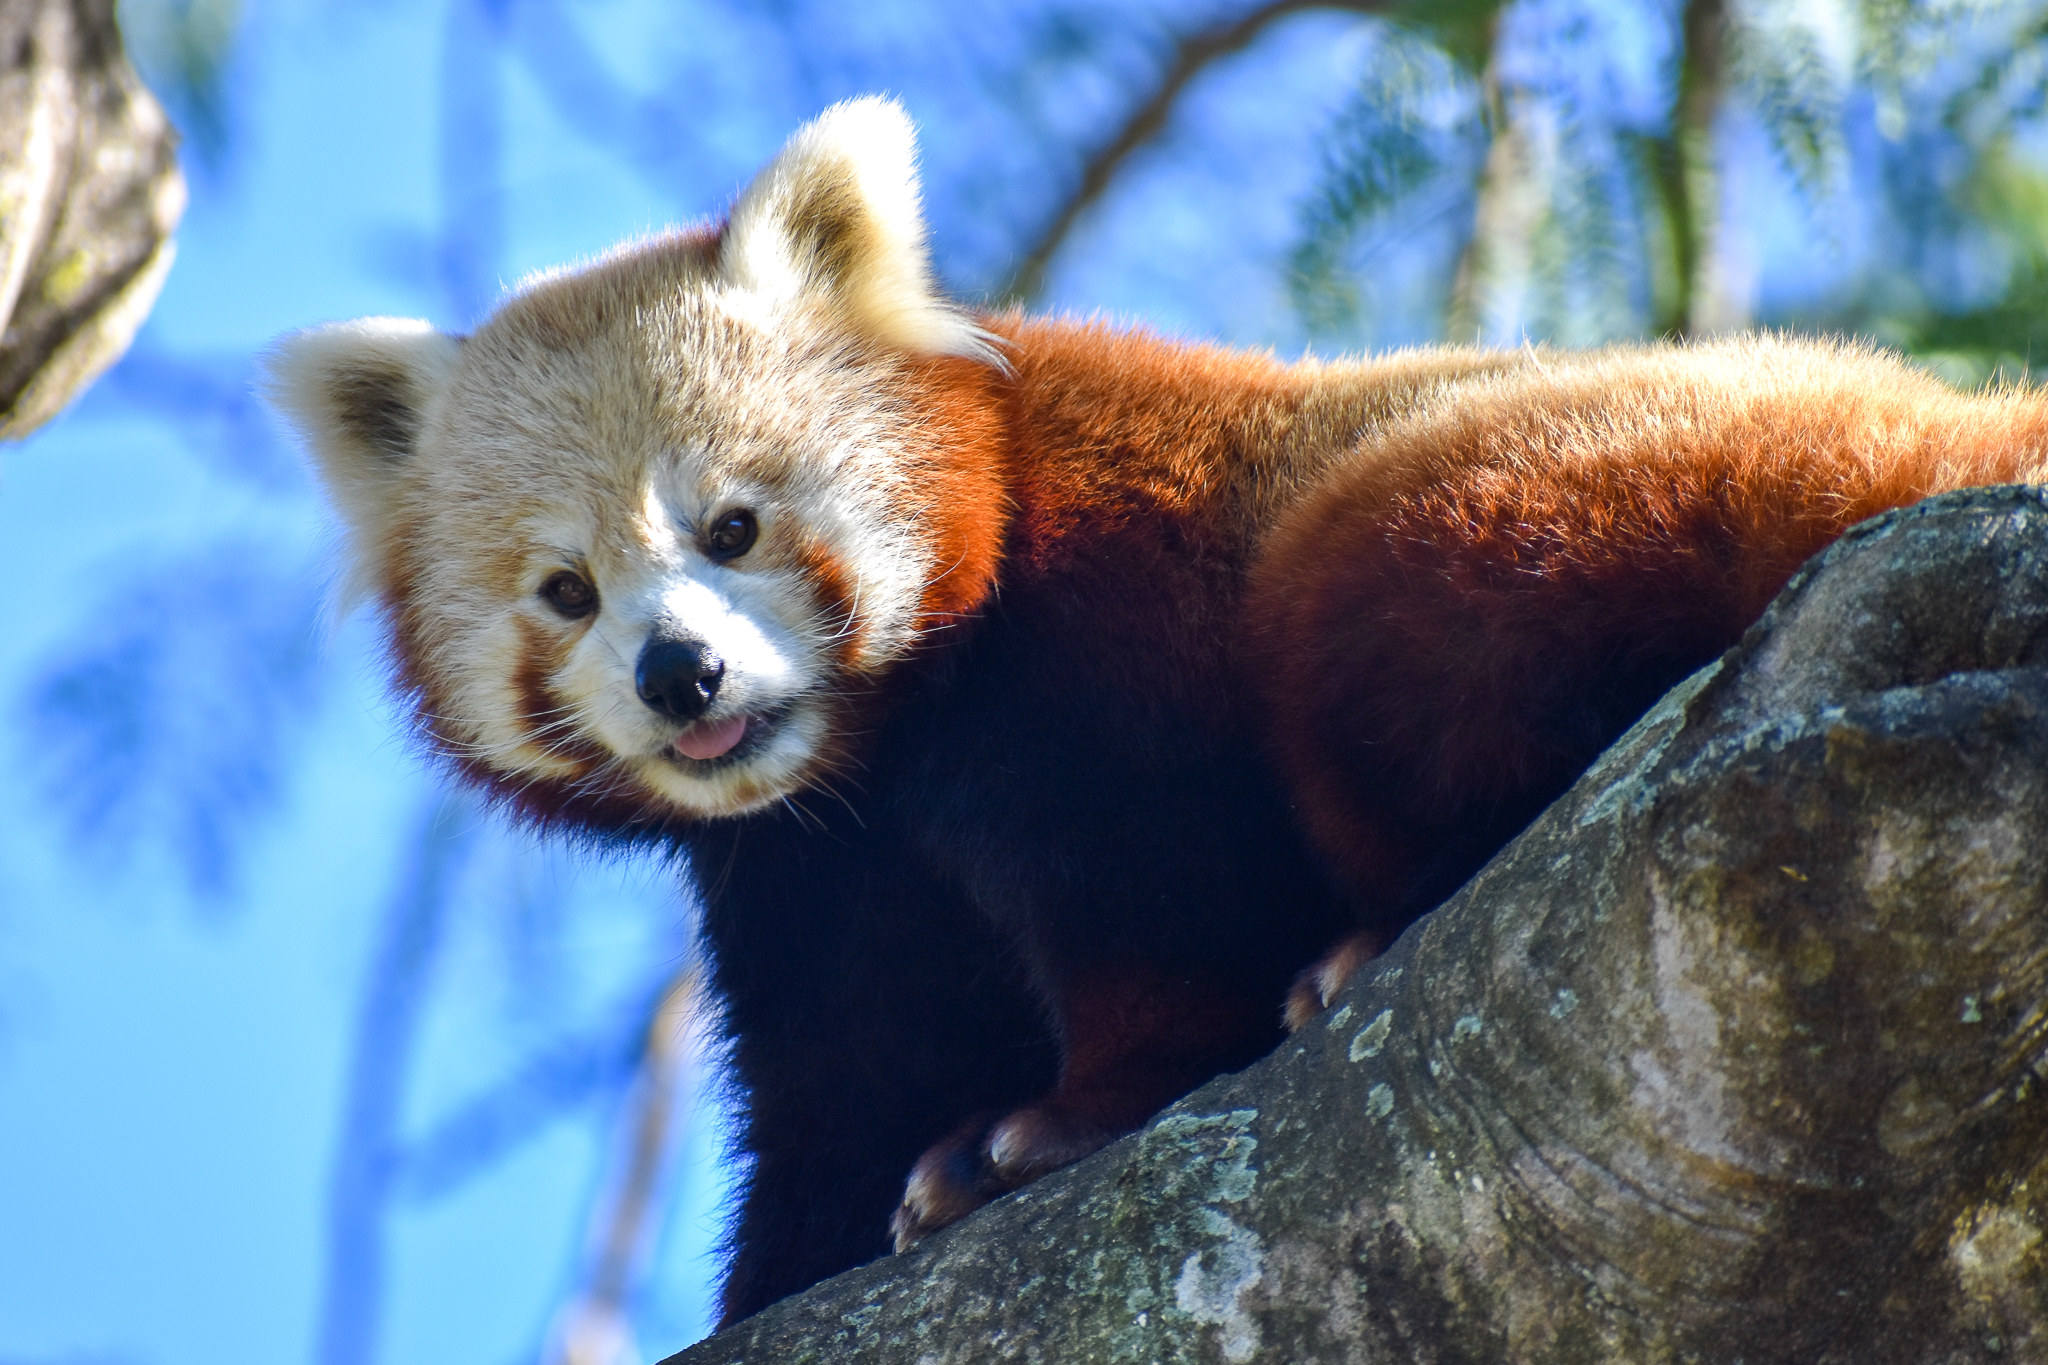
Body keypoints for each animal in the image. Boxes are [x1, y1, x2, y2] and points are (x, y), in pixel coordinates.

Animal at [267, 96, 2048, 1322]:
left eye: (732, 527)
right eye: (566, 592)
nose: (681, 673)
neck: (876, 757)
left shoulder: (1100, 628)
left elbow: (1154, 893)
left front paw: (1052, 1126)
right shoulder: (809, 874)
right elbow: (843, 1082)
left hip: (1607, 461)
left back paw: (1370, 937)